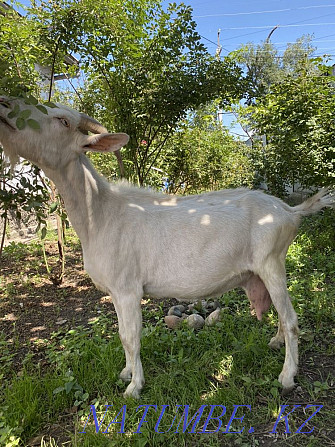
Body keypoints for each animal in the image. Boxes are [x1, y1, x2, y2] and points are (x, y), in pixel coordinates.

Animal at [1, 95, 334, 400]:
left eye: (63, 121)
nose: (5, 105)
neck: (101, 213)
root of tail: (290, 211)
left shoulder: (128, 288)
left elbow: (131, 336)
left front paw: (134, 387)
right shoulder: (116, 292)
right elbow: (121, 335)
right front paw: (126, 373)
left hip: (272, 261)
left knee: (291, 319)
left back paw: (287, 376)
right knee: (281, 313)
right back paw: (276, 342)